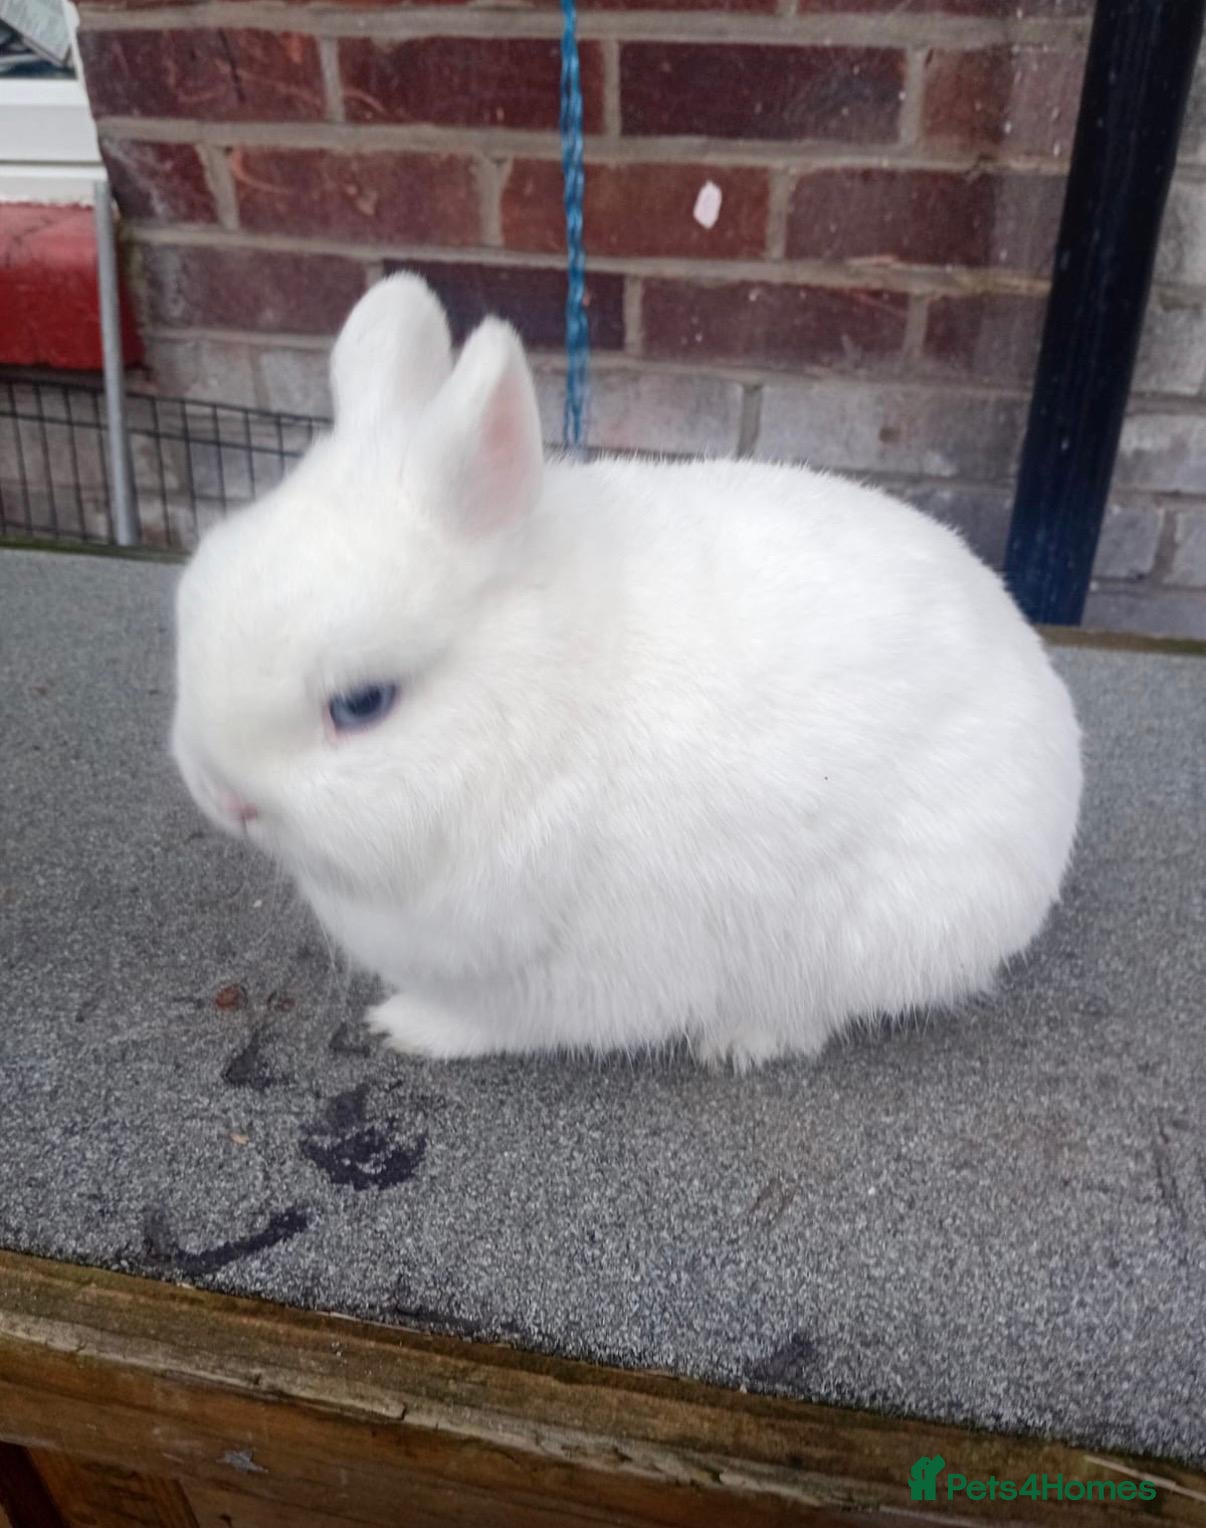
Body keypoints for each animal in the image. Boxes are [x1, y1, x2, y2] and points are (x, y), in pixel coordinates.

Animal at [171, 272, 1083, 1068]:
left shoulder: (560, 972)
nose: (222, 796)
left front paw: (406, 1027)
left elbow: (488, 1023)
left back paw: (740, 1041)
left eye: (362, 703)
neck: (539, 704)